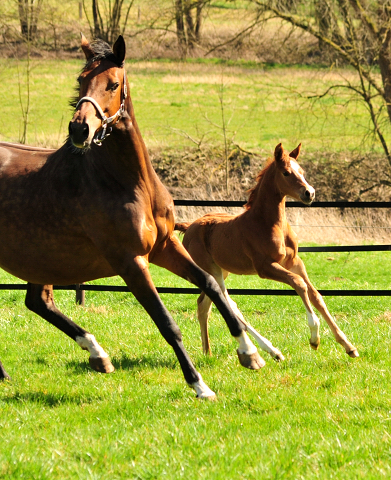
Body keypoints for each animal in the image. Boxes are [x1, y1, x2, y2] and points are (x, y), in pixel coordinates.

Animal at [0, 35, 266, 400]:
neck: (127, 182)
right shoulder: (131, 262)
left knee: (38, 302)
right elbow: (167, 323)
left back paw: (97, 355)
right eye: (81, 80)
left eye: (113, 84)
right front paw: (199, 385)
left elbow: (212, 285)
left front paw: (248, 352)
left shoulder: (164, 247)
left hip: (41, 261)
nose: (79, 129)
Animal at [176, 144, 360, 362]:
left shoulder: (295, 262)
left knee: (204, 304)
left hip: (221, 271)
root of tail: (189, 226)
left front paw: (348, 346)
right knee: (229, 304)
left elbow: (316, 295)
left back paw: (208, 352)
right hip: (212, 270)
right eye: (286, 173)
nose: (310, 193)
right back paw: (272, 351)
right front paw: (314, 338)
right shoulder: (265, 267)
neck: (268, 223)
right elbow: (299, 284)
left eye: (302, 171)